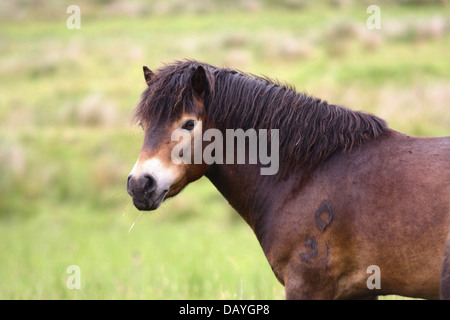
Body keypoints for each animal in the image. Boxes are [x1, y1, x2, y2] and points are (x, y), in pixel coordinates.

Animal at [126, 60, 450, 300]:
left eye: (189, 123)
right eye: (145, 124)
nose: (140, 184)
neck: (308, 173)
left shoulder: (306, 286)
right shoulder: (360, 292)